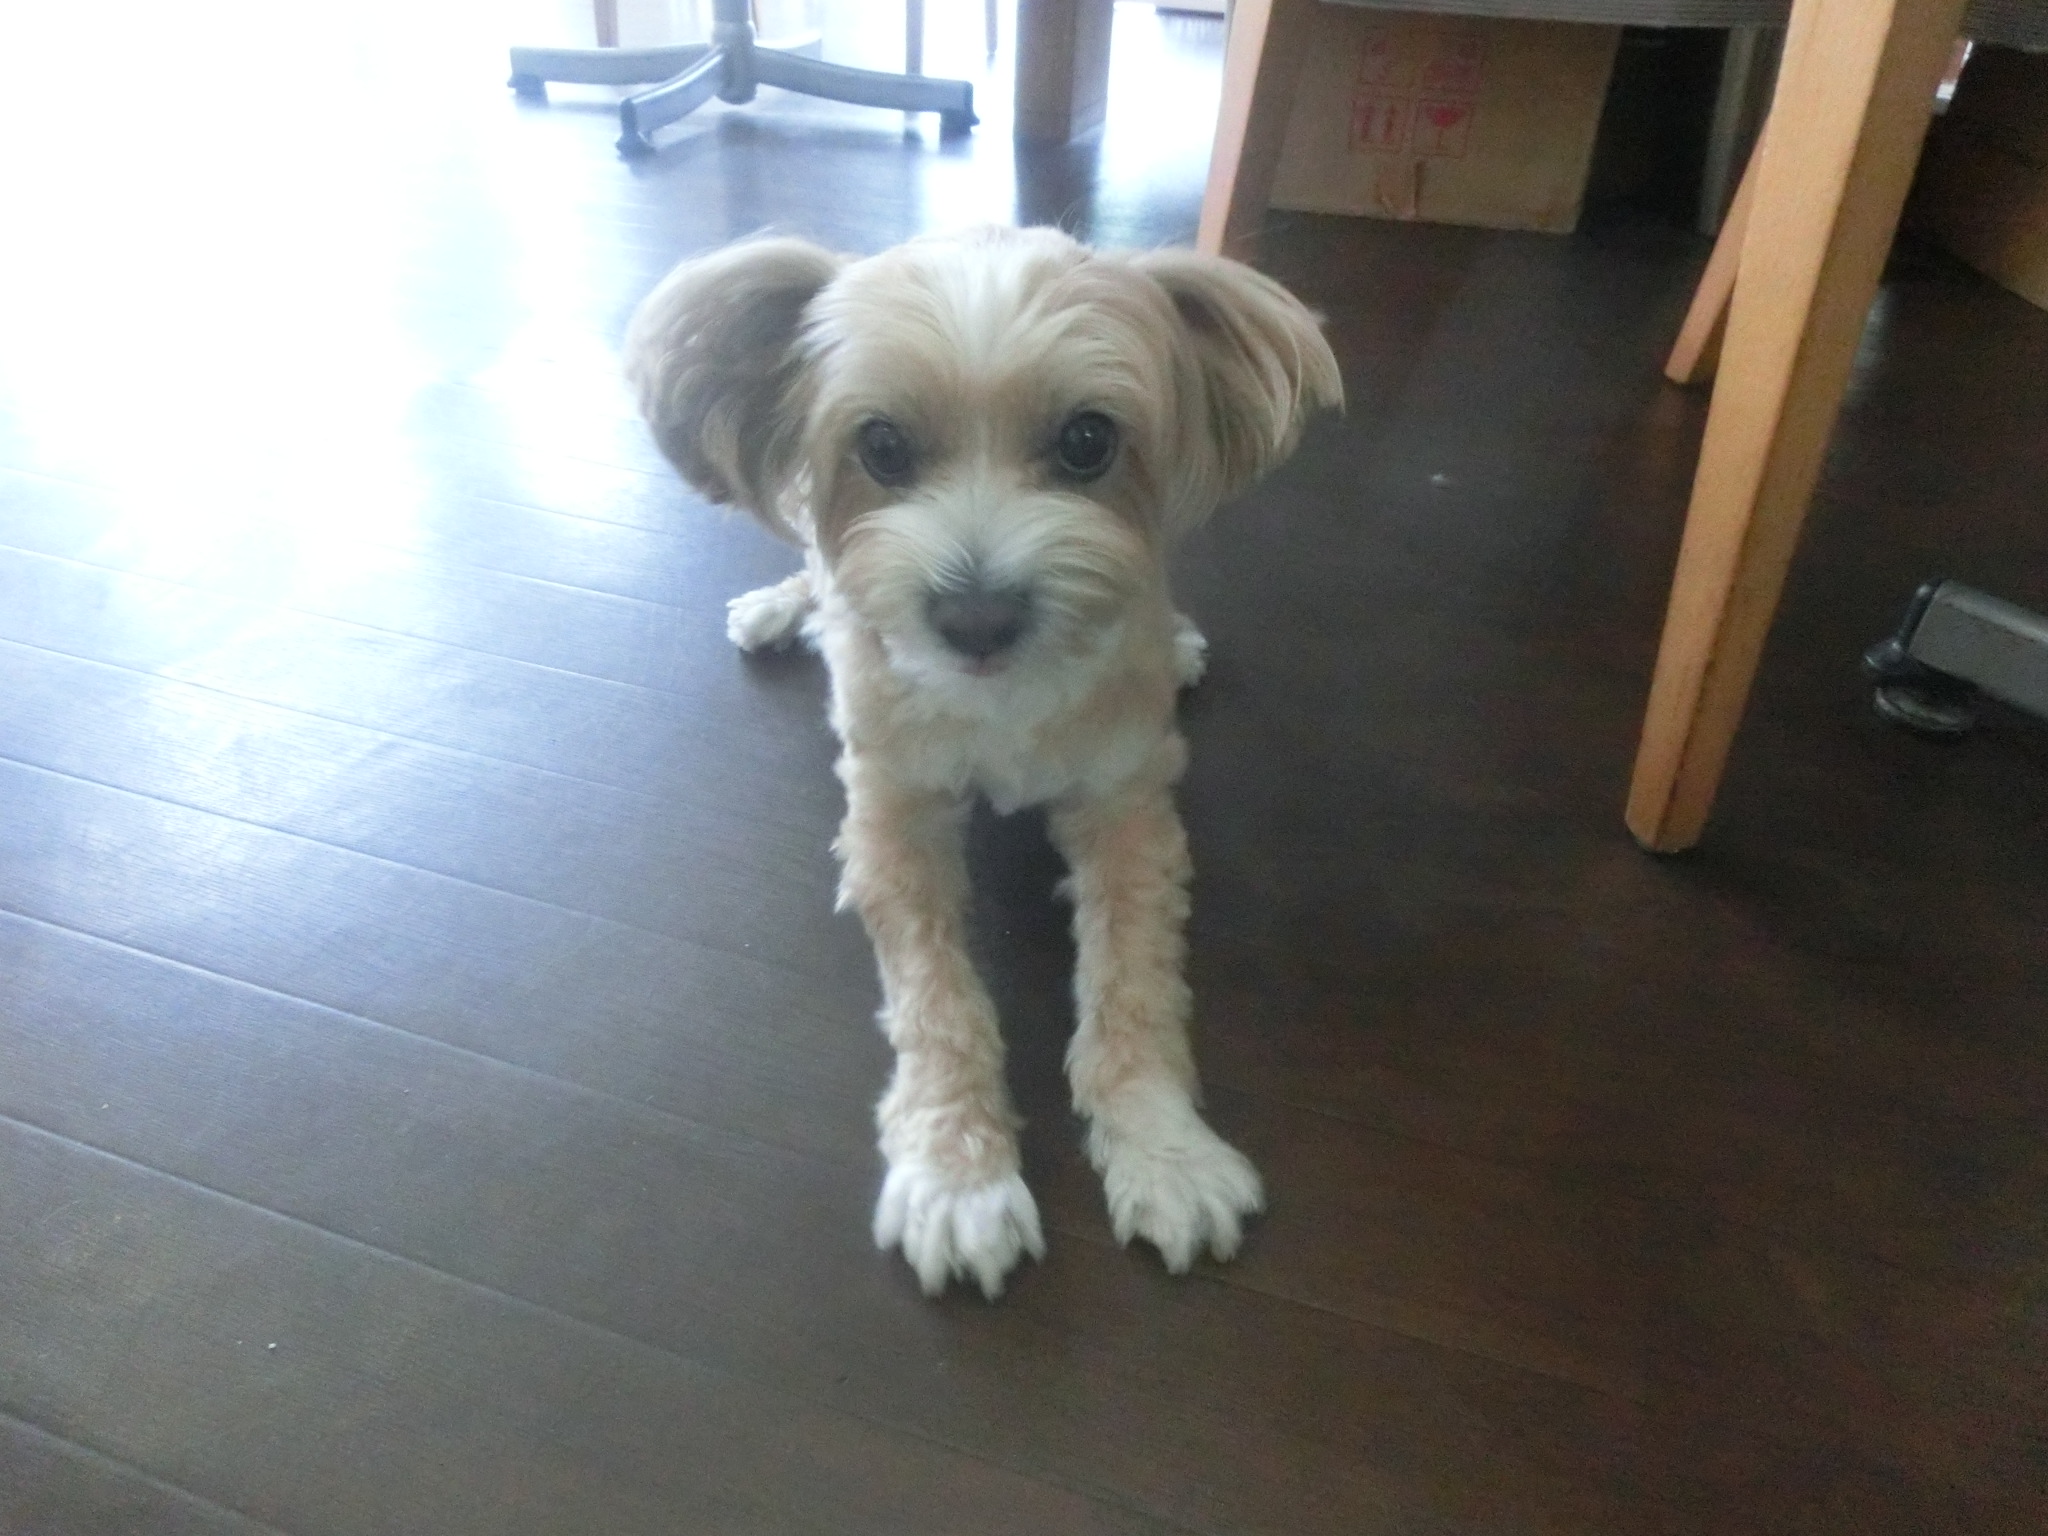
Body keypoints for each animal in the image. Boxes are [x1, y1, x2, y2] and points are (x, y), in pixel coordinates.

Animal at [625, 225, 1341, 1298]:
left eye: (1088, 441)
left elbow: (1135, 986)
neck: (998, 700)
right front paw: (955, 1174)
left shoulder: (1128, 807)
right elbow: (939, 1004)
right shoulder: (894, 818)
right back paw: (782, 608)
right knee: (811, 560)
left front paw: (1162, 1147)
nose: (975, 615)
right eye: (881, 446)